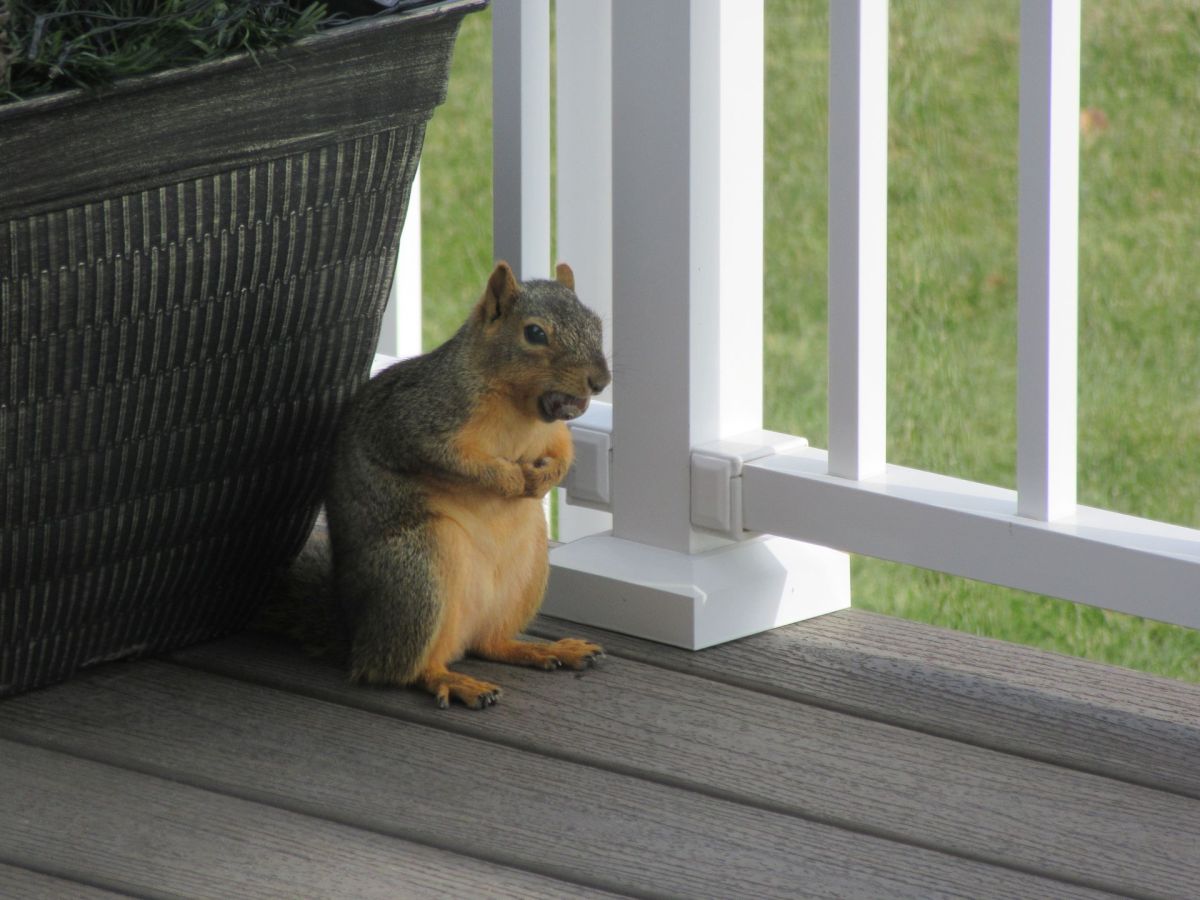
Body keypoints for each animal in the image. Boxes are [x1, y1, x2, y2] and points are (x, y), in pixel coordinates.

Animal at [323, 261, 611, 709]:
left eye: (596, 323)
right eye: (534, 333)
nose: (600, 380)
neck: (519, 410)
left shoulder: (554, 436)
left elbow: (564, 455)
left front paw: (543, 479)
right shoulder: (417, 421)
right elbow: (455, 461)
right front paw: (508, 477)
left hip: (528, 572)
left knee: (490, 644)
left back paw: (543, 649)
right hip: (417, 574)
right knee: (400, 670)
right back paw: (452, 681)